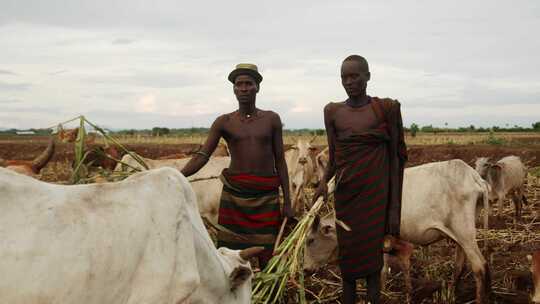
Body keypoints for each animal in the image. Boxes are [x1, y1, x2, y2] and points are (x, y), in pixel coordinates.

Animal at [304, 160, 490, 302]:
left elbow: (381, 269)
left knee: (479, 266)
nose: (305, 270)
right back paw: (451, 293)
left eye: (310, 240)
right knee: (460, 265)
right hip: (460, 235)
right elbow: (389, 266)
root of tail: (474, 177)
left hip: (464, 233)